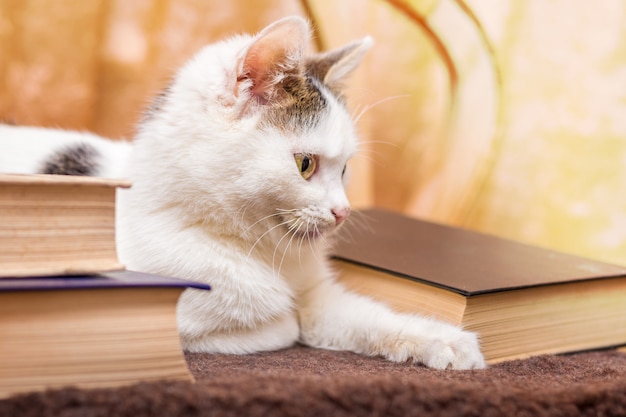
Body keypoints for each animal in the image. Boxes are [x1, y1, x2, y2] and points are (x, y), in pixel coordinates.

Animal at [0, 17, 482, 368]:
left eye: (345, 170)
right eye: (305, 164)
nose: (343, 211)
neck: (263, 254)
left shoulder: (317, 294)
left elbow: (359, 316)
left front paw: (442, 341)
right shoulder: (160, 321)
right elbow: (282, 328)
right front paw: (281, 320)